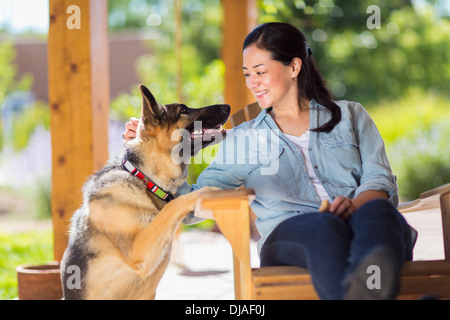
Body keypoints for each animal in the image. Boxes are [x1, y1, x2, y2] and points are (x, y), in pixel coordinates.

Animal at [61, 84, 230, 298]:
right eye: (183, 110)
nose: (227, 106)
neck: (145, 179)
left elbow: (172, 206)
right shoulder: (138, 250)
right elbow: (174, 205)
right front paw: (208, 190)